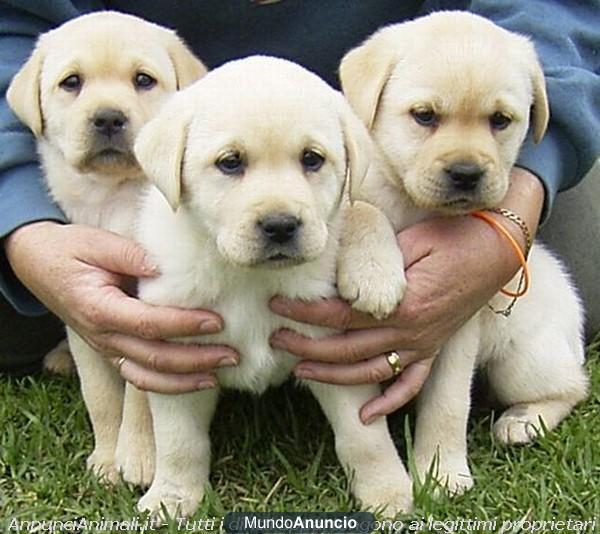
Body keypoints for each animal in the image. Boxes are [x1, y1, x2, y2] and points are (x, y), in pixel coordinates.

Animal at [7, 10, 206, 490]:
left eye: (143, 80)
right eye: (72, 82)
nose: (109, 118)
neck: (114, 197)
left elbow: (139, 390)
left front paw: (137, 456)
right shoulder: (84, 314)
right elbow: (99, 394)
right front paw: (106, 457)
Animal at [133, 55, 410, 520]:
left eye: (312, 159)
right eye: (230, 162)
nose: (280, 225)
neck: (248, 277)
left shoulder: (333, 355)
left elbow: (364, 437)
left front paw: (389, 492)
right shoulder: (179, 360)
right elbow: (180, 441)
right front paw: (170, 497)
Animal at [340, 12, 588, 496]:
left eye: (500, 120)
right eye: (424, 116)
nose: (466, 173)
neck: (412, 203)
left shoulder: (454, 326)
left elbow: (448, 403)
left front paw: (441, 474)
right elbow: (362, 209)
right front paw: (375, 274)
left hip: (522, 359)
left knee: (574, 387)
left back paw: (523, 421)